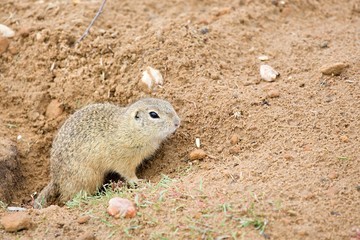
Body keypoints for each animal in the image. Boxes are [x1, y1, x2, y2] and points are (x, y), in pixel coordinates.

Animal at [34, 98, 180, 207]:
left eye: (168, 103)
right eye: (153, 114)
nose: (177, 122)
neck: (130, 129)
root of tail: (55, 178)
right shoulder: (123, 160)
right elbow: (128, 174)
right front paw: (139, 181)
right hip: (88, 177)